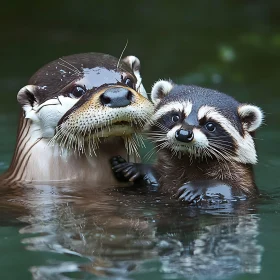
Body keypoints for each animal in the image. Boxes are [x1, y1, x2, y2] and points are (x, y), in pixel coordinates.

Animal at [110, 80, 264, 202]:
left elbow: (235, 190)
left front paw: (203, 186)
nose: (183, 134)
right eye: (176, 117)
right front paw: (142, 169)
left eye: (210, 125)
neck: (188, 157)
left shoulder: (244, 184)